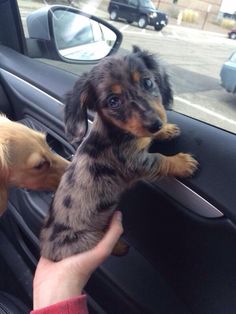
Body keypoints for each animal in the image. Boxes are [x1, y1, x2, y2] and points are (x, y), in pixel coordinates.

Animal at [40, 46, 197, 262]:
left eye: (148, 82)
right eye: (113, 101)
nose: (155, 124)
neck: (117, 132)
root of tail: (46, 250)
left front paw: (166, 130)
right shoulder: (136, 162)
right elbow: (159, 159)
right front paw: (182, 163)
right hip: (85, 240)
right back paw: (120, 246)